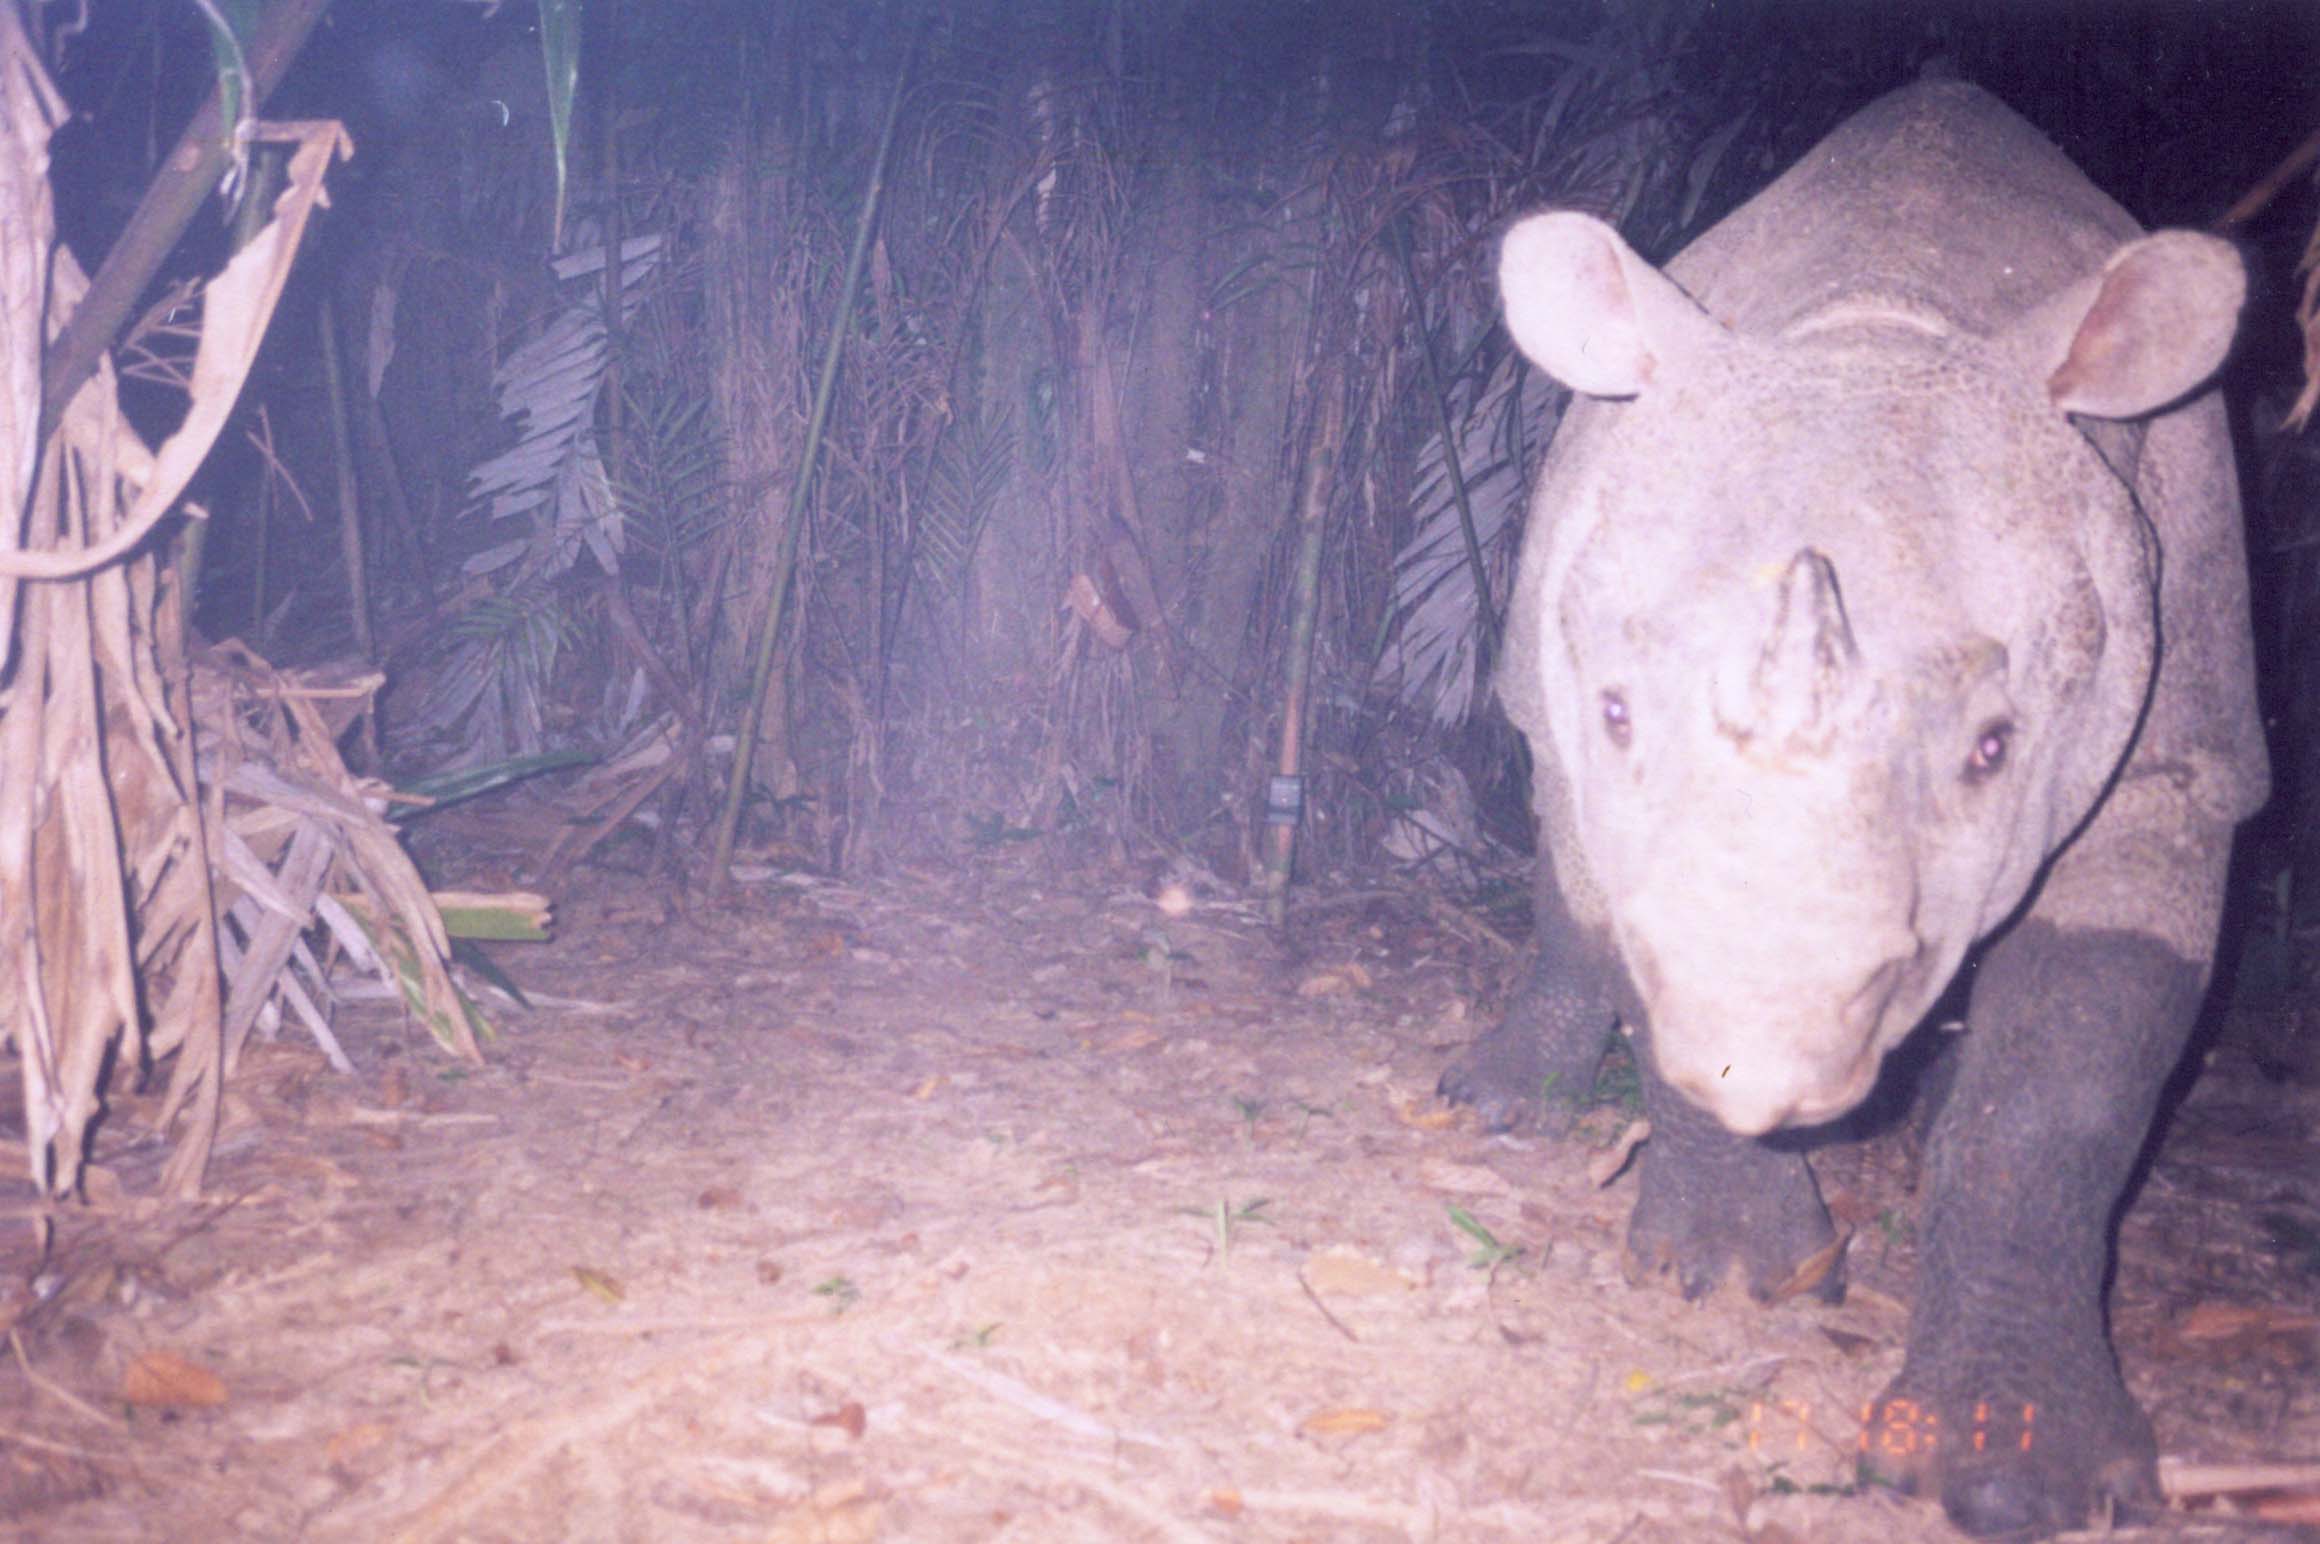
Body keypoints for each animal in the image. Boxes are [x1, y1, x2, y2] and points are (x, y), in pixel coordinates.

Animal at [1442, 80, 2266, 1538]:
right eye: (1618, 712)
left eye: (1995, 748)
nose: (1765, 1068)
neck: (1889, 317)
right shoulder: (1585, 713)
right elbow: (1632, 915)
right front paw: (1726, 1275)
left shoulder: (2178, 756)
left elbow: (2062, 1096)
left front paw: (2019, 1469)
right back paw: (1501, 1108)